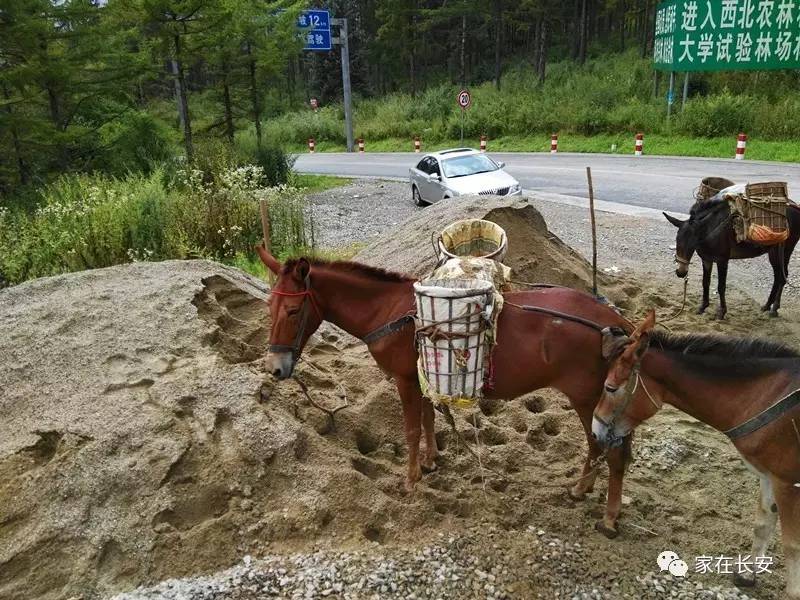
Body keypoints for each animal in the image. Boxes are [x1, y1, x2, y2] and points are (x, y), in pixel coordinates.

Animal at [256, 246, 636, 536]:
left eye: (293, 310)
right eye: (269, 307)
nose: (275, 367)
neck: (391, 311)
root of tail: (619, 325)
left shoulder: (405, 380)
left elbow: (411, 428)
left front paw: (411, 480)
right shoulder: (422, 379)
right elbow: (428, 420)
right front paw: (430, 461)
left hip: (589, 399)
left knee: (610, 452)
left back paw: (608, 515)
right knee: (600, 448)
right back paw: (582, 489)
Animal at [592, 312, 800, 596]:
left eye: (610, 388)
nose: (596, 430)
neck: (769, 395)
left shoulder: (787, 483)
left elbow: (792, 548)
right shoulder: (769, 475)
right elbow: (763, 524)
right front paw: (747, 575)